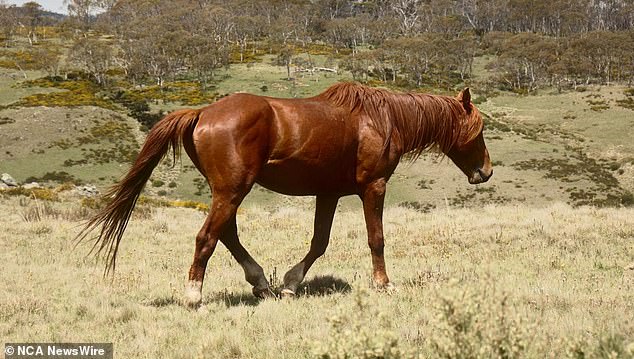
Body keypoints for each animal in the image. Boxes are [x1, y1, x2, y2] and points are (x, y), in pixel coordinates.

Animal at [79, 83, 492, 308]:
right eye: (480, 129)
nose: (486, 171)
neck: (381, 120)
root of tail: (202, 113)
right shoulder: (374, 187)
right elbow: (376, 239)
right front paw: (383, 284)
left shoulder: (329, 194)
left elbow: (319, 242)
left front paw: (292, 284)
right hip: (232, 190)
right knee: (207, 237)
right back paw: (195, 296)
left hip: (228, 191)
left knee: (226, 234)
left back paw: (262, 284)